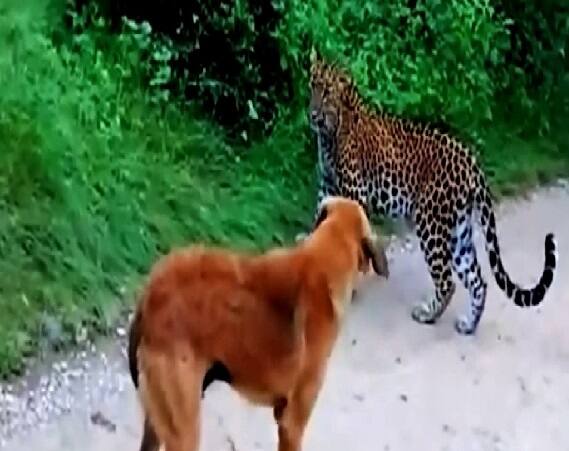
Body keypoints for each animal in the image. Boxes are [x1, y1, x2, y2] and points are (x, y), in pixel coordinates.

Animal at [304, 50, 556, 336]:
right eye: (312, 86)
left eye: (326, 91)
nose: (312, 115)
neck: (331, 131)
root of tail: (471, 161)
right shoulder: (327, 189)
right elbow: (319, 225)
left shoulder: (354, 192)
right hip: (459, 231)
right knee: (477, 279)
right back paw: (468, 325)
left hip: (431, 222)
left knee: (447, 280)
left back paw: (427, 314)